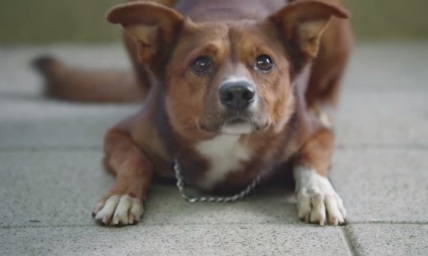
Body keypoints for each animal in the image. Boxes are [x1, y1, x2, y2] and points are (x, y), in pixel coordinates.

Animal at [34, 0, 352, 225]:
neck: (225, 141)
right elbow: (136, 160)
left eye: (265, 62)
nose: (238, 93)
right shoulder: (118, 134)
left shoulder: (319, 134)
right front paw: (121, 196)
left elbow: (309, 158)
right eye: (201, 64)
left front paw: (319, 192)